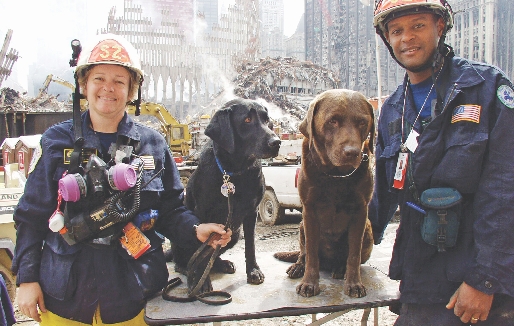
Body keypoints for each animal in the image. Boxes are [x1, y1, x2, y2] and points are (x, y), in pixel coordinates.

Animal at [174, 97, 282, 288]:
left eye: (266, 119)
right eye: (247, 120)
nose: (276, 142)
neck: (235, 171)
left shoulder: (251, 212)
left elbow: (250, 246)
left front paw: (253, 271)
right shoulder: (203, 214)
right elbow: (201, 250)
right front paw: (201, 281)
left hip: (233, 234)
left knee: (213, 255)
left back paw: (222, 264)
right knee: (182, 261)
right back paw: (190, 271)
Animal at [276, 89, 372, 298]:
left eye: (362, 122)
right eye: (332, 121)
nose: (352, 152)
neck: (336, 175)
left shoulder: (361, 212)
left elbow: (353, 254)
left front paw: (353, 283)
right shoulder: (309, 211)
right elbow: (311, 253)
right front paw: (309, 283)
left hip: (369, 231)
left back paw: (340, 269)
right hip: (302, 226)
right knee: (303, 253)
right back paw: (298, 267)